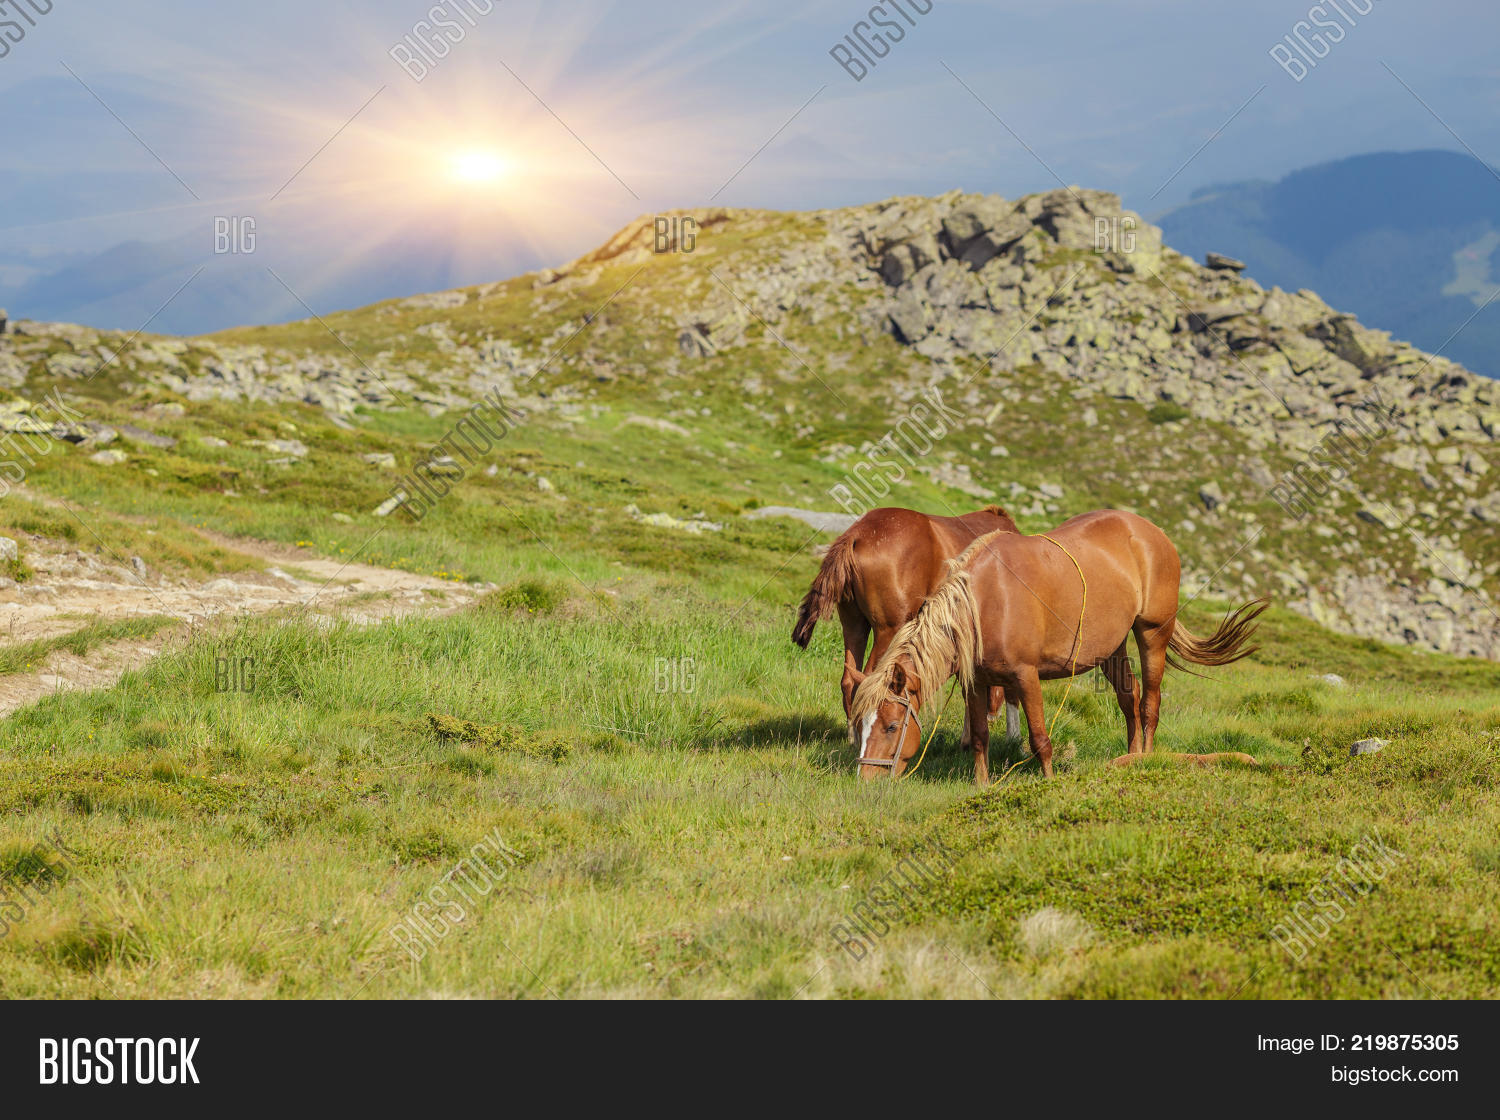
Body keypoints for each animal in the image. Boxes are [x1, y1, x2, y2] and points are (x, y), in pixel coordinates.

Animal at [793, 505, 1023, 750]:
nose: (992, 714)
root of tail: (857, 534)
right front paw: (1012, 738)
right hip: (889, 630)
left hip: (854, 625)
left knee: (849, 680)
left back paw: (854, 737)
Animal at [848, 509, 1267, 784]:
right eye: (859, 723)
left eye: (891, 725)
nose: (866, 781)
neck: (984, 602)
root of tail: (1152, 532)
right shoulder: (977, 682)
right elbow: (981, 736)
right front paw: (982, 786)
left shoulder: (1025, 676)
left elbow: (1039, 738)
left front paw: (1048, 784)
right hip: (1111, 648)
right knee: (1129, 699)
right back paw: (1130, 758)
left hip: (1152, 633)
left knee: (1149, 704)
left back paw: (1145, 759)